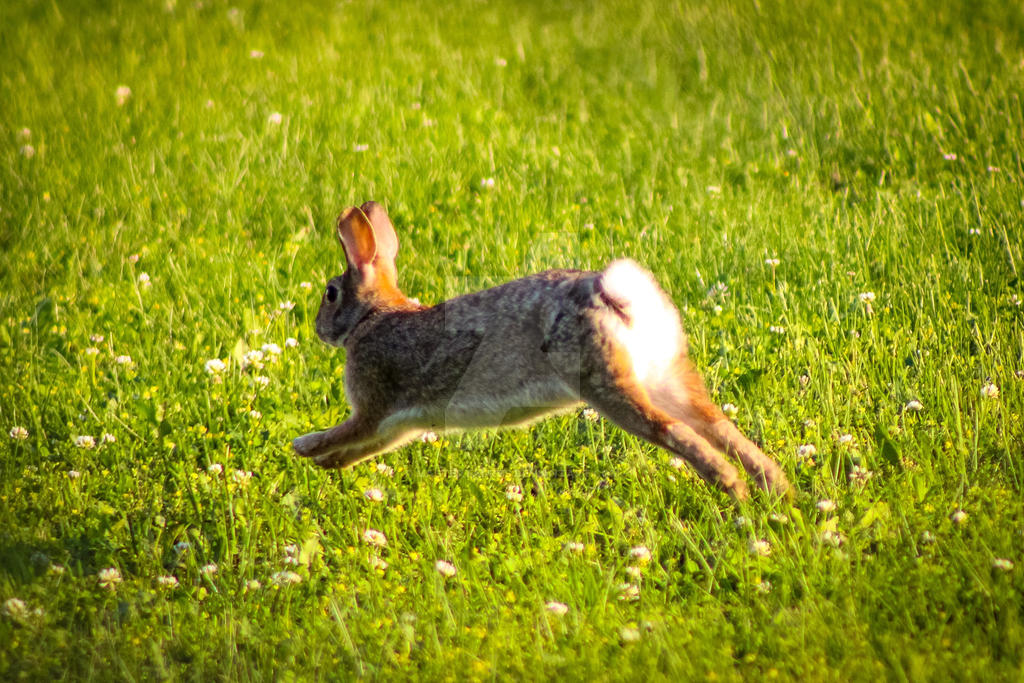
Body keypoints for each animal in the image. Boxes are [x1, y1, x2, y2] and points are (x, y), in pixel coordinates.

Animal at [292, 201, 790, 499]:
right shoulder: (399, 424)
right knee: (721, 426)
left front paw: (305, 447)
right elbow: (365, 447)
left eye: (330, 293)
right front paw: (327, 463)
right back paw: (778, 491)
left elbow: (347, 432)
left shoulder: (373, 405)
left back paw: (732, 488)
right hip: (665, 375)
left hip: (604, 381)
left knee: (675, 431)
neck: (371, 317)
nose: (318, 328)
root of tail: (621, 299)